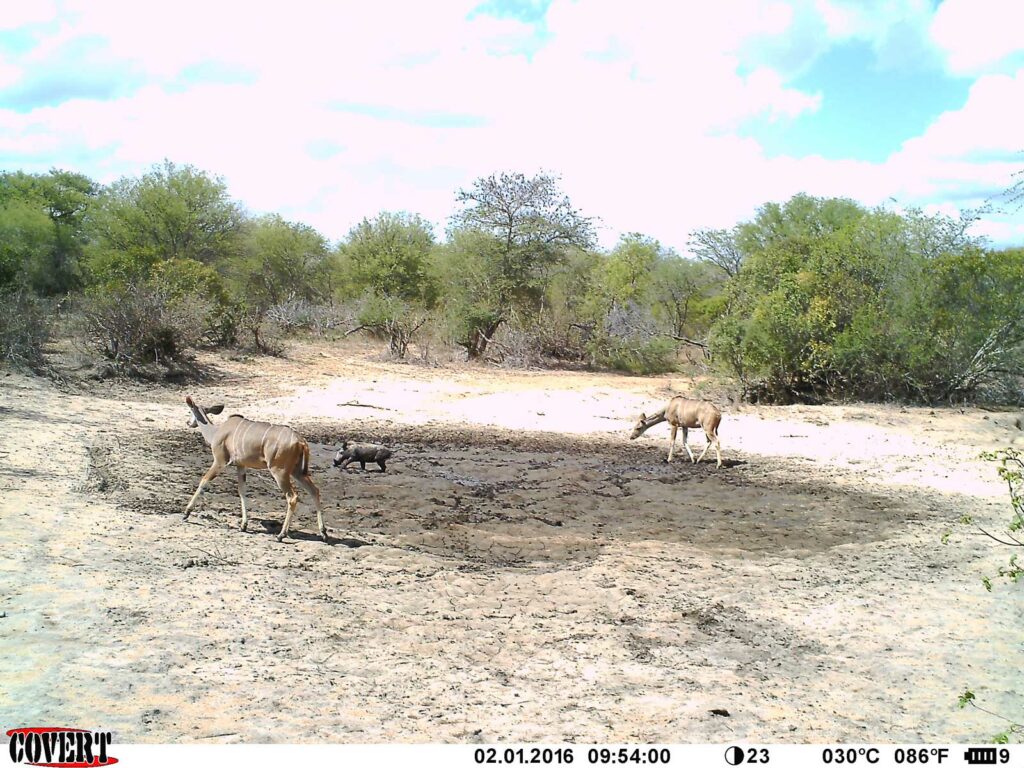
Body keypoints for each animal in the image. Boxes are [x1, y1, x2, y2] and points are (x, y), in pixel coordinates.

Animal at [182, 396, 328, 543]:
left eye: (190, 411)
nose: (188, 423)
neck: (215, 432)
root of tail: (301, 442)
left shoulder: (220, 461)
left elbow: (204, 481)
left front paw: (186, 513)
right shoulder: (241, 465)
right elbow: (242, 491)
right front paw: (243, 525)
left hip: (279, 471)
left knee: (292, 497)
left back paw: (281, 535)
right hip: (297, 472)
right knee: (314, 490)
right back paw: (323, 533)